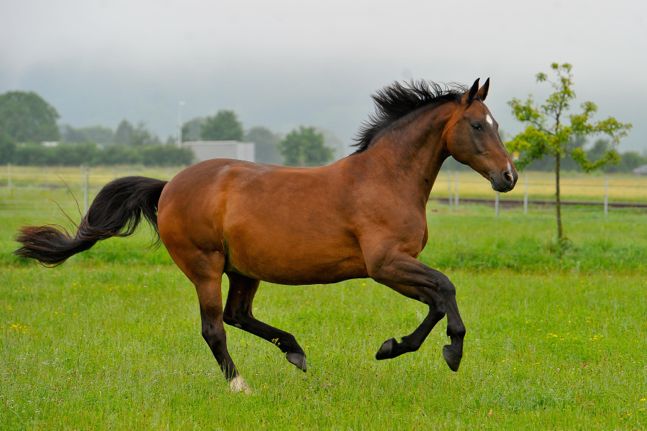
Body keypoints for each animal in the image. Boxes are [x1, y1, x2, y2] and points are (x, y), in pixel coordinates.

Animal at [15, 78, 520, 394]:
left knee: (238, 315)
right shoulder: (385, 265)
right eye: (478, 124)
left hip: (244, 269)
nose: (508, 178)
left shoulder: (398, 265)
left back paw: (295, 352)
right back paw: (242, 386)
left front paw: (395, 346)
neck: (384, 179)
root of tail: (169, 186)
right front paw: (442, 351)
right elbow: (444, 291)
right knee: (215, 328)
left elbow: (436, 299)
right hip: (205, 267)